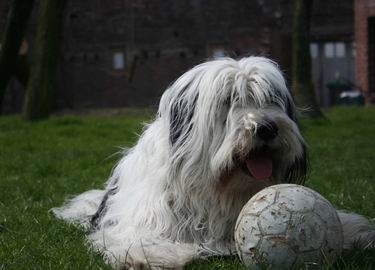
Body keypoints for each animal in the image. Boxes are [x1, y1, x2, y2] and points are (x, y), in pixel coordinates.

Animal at [53, 56, 375, 268]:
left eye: (270, 99)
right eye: (228, 100)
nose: (266, 128)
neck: (222, 188)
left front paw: (354, 231)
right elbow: (139, 238)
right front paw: (153, 254)